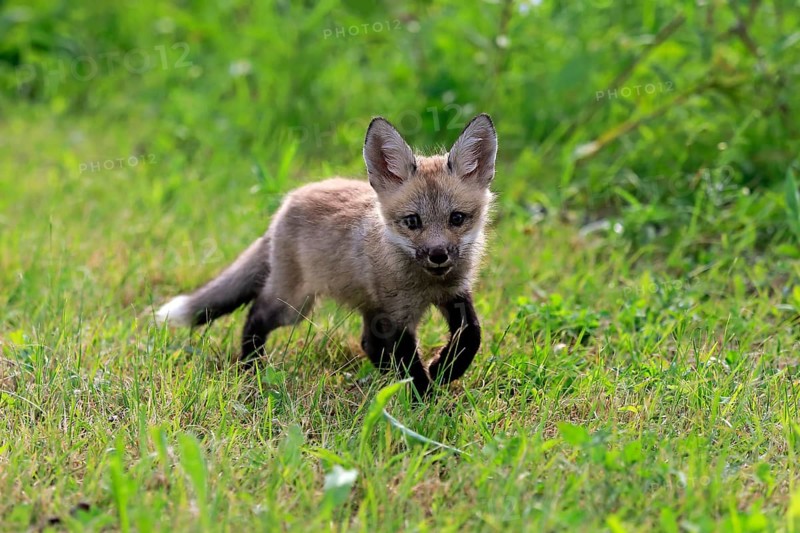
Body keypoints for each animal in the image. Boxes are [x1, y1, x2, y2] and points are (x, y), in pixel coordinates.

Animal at [156, 113, 497, 397]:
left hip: (357, 306)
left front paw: (446, 369)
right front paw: (426, 401)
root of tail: (287, 204)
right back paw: (251, 367)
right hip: (294, 306)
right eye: (413, 221)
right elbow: (410, 365)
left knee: (367, 342)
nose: (438, 255)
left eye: (457, 218)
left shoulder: (455, 294)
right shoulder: (396, 316)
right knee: (255, 314)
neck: (428, 285)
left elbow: (472, 335)